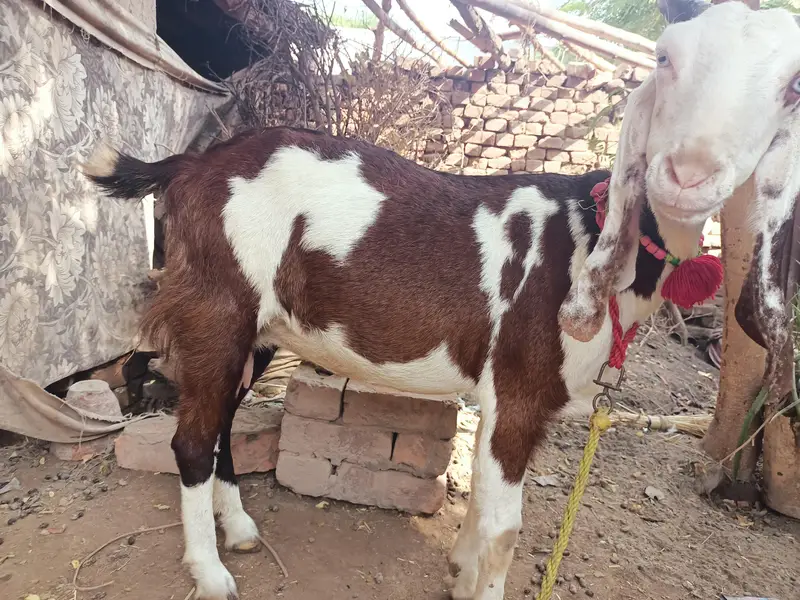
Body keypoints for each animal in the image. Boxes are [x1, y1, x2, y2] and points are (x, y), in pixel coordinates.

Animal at [81, 3, 800, 599]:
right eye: (664, 58)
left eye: (790, 89)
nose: (688, 173)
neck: (588, 237)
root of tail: (187, 166)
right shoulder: (520, 389)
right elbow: (505, 528)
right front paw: (476, 583)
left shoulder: (498, 398)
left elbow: (480, 502)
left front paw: (457, 569)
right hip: (217, 308)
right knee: (191, 441)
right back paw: (211, 574)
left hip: (258, 329)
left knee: (222, 426)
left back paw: (240, 531)